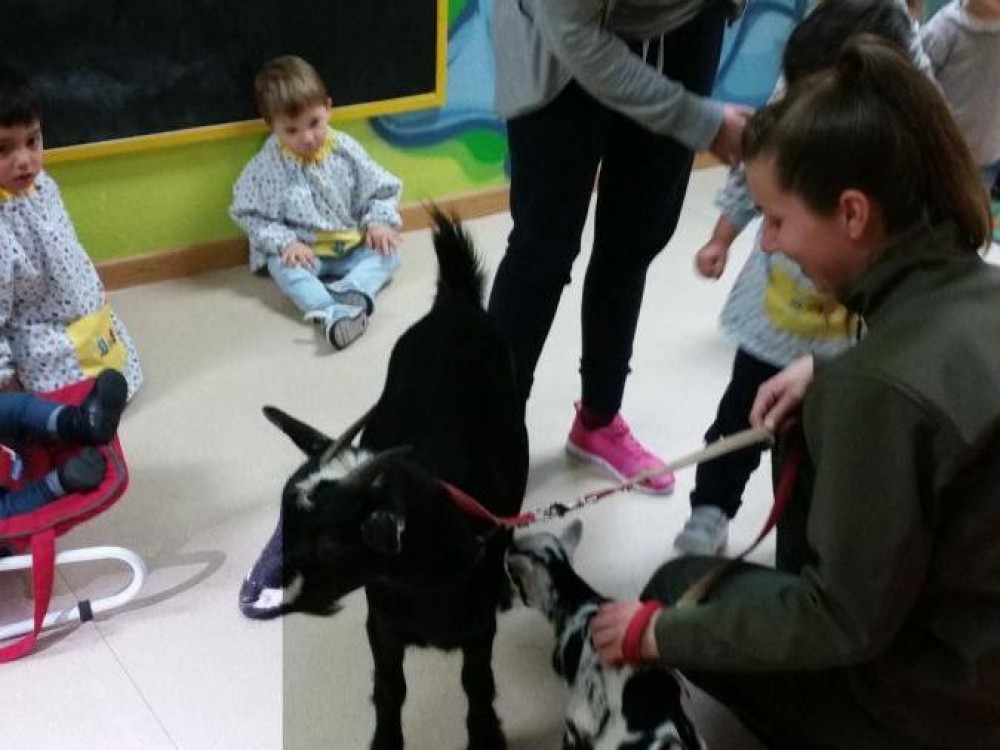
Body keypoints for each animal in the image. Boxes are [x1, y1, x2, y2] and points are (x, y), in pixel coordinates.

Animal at [240, 210, 529, 750]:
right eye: (281, 520)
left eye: (333, 542)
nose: (254, 594)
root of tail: (453, 303)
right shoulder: (382, 626)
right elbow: (390, 687)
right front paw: (386, 741)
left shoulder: (477, 630)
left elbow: (477, 682)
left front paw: (485, 734)